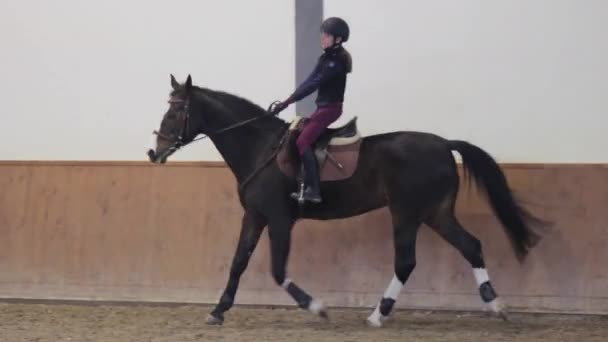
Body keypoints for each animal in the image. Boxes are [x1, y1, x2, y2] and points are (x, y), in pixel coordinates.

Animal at [150, 74, 548, 326]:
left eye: (175, 112)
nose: (154, 152)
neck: (260, 148)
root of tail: (443, 144)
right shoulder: (255, 216)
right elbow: (238, 263)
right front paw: (218, 310)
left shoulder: (279, 219)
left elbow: (277, 270)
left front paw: (317, 307)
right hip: (436, 213)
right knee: (471, 246)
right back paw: (495, 305)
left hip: (406, 213)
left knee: (407, 261)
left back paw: (378, 314)